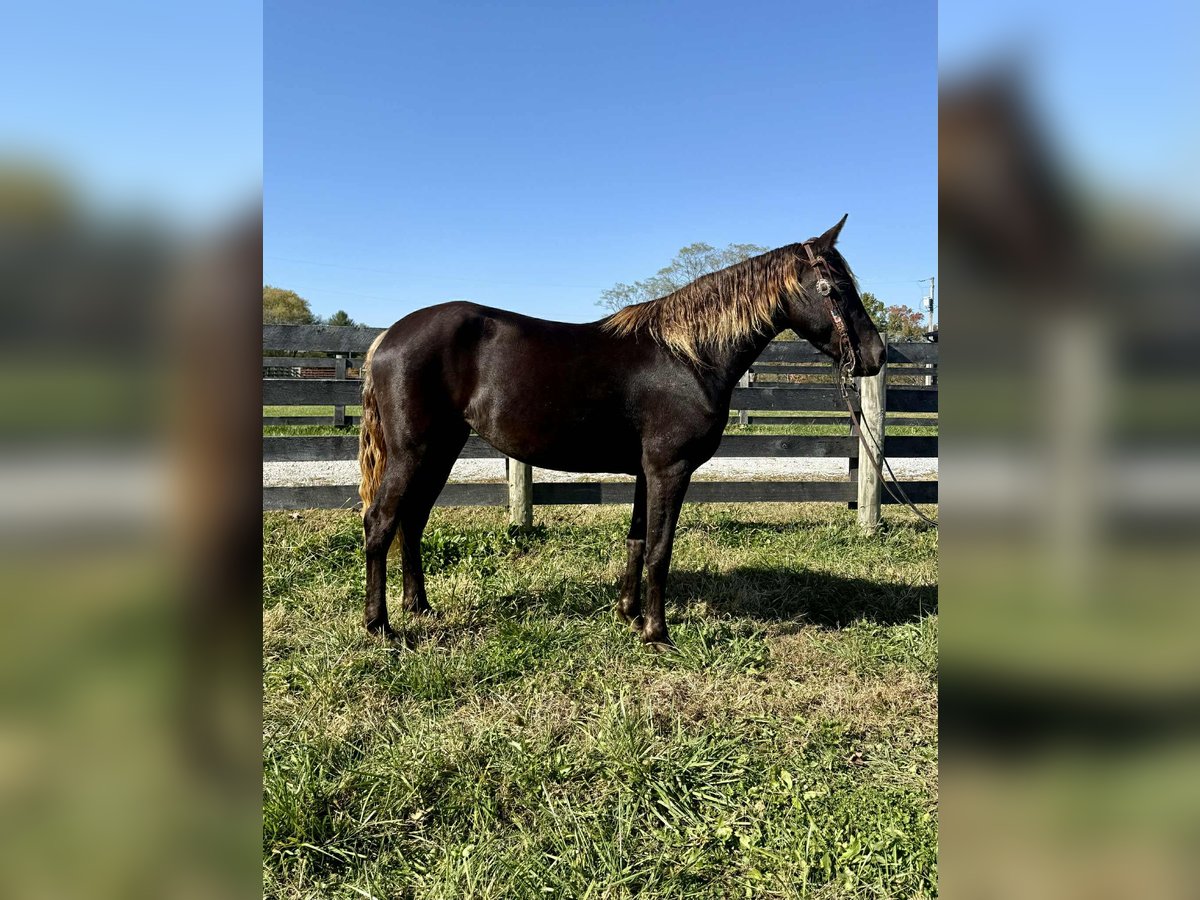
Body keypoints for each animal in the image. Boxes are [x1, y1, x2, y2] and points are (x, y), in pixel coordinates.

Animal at [357, 215, 885, 648]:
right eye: (835, 287)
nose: (877, 356)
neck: (688, 356)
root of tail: (387, 337)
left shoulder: (645, 473)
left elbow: (637, 542)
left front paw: (629, 615)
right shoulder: (670, 469)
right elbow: (660, 549)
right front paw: (657, 634)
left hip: (440, 451)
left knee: (412, 521)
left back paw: (420, 608)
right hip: (412, 453)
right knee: (380, 522)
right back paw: (380, 627)